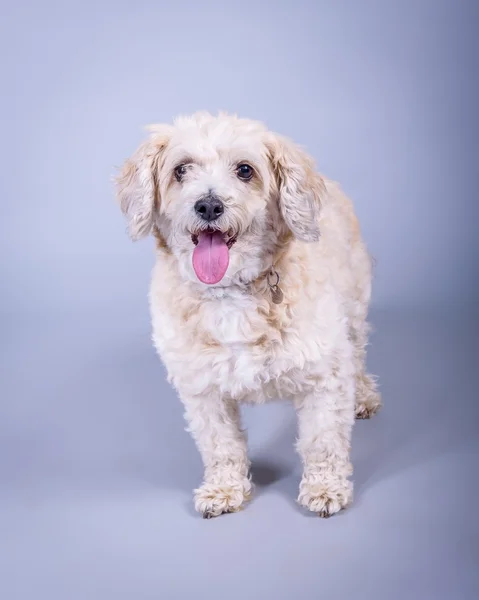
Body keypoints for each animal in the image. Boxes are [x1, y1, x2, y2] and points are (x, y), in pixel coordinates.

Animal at [115, 115, 382, 516]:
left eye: (245, 170)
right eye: (181, 170)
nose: (209, 206)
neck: (230, 291)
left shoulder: (324, 373)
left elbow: (322, 440)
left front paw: (325, 487)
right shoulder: (202, 389)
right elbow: (221, 444)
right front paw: (223, 489)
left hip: (354, 311)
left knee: (359, 352)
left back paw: (363, 396)